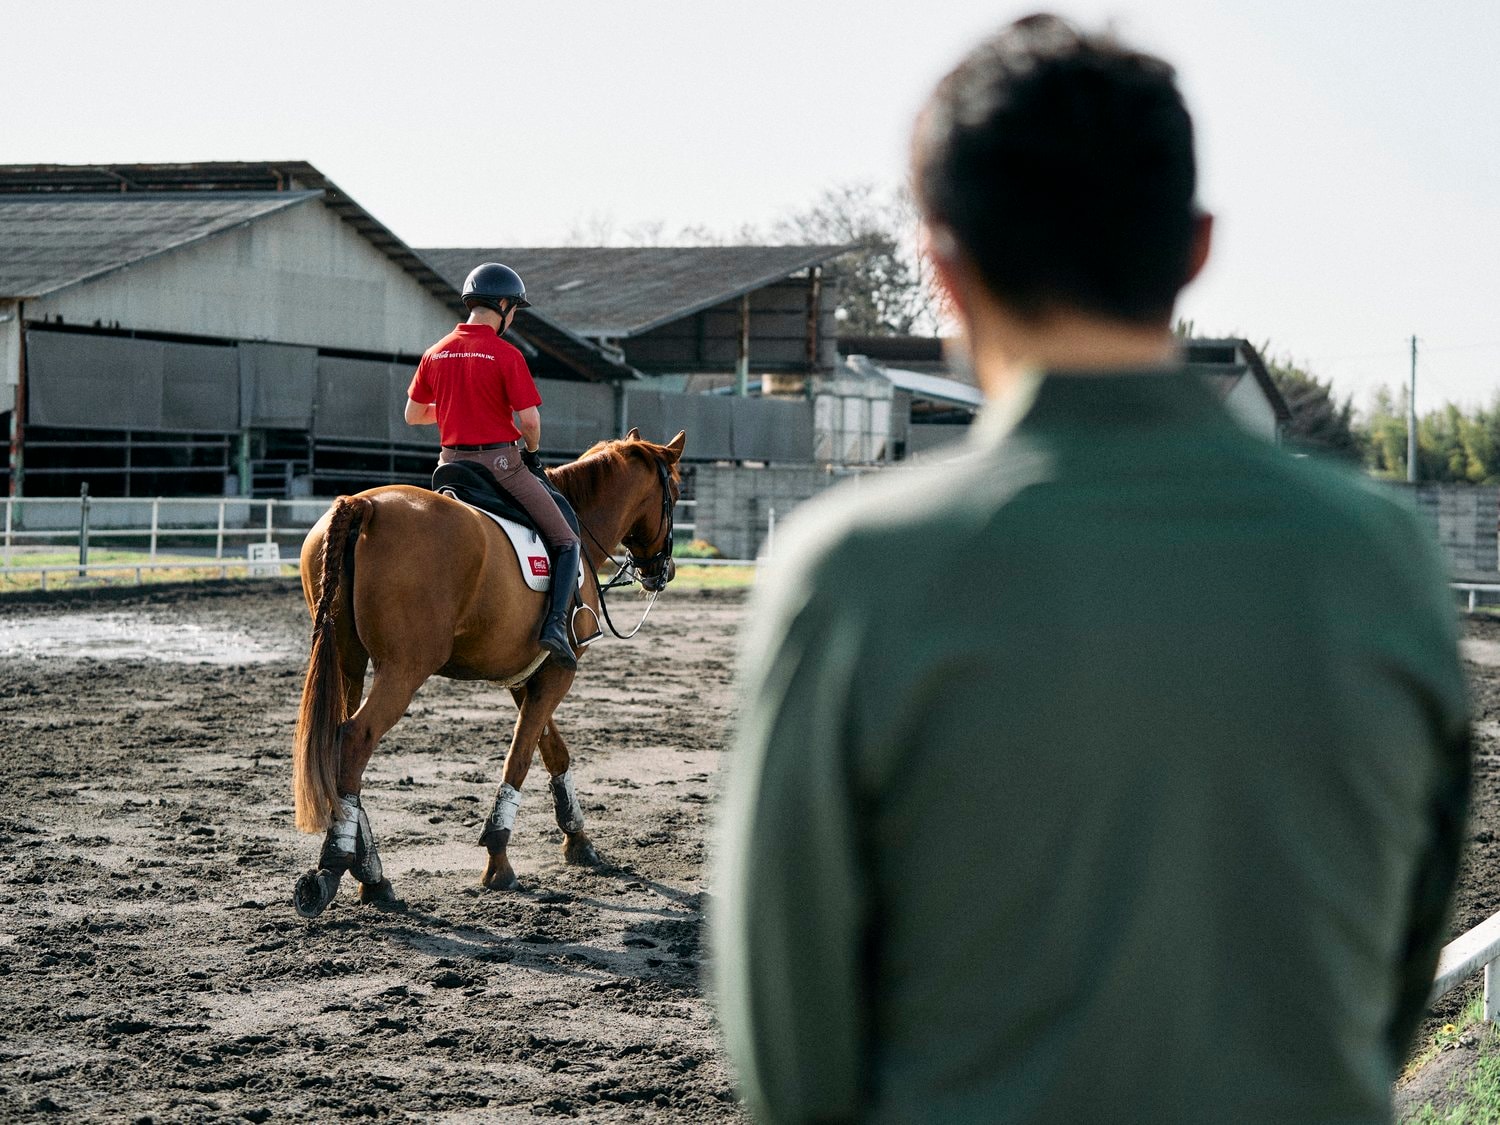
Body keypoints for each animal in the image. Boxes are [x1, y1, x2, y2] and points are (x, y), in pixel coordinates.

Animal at [288, 426, 687, 918]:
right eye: (675, 493)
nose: (664, 571)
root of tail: (364, 505)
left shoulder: (526, 675)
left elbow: (553, 752)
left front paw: (578, 840)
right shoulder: (559, 670)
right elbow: (520, 757)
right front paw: (498, 859)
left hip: (348, 661)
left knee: (337, 745)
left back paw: (373, 877)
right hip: (403, 670)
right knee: (354, 740)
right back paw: (335, 867)